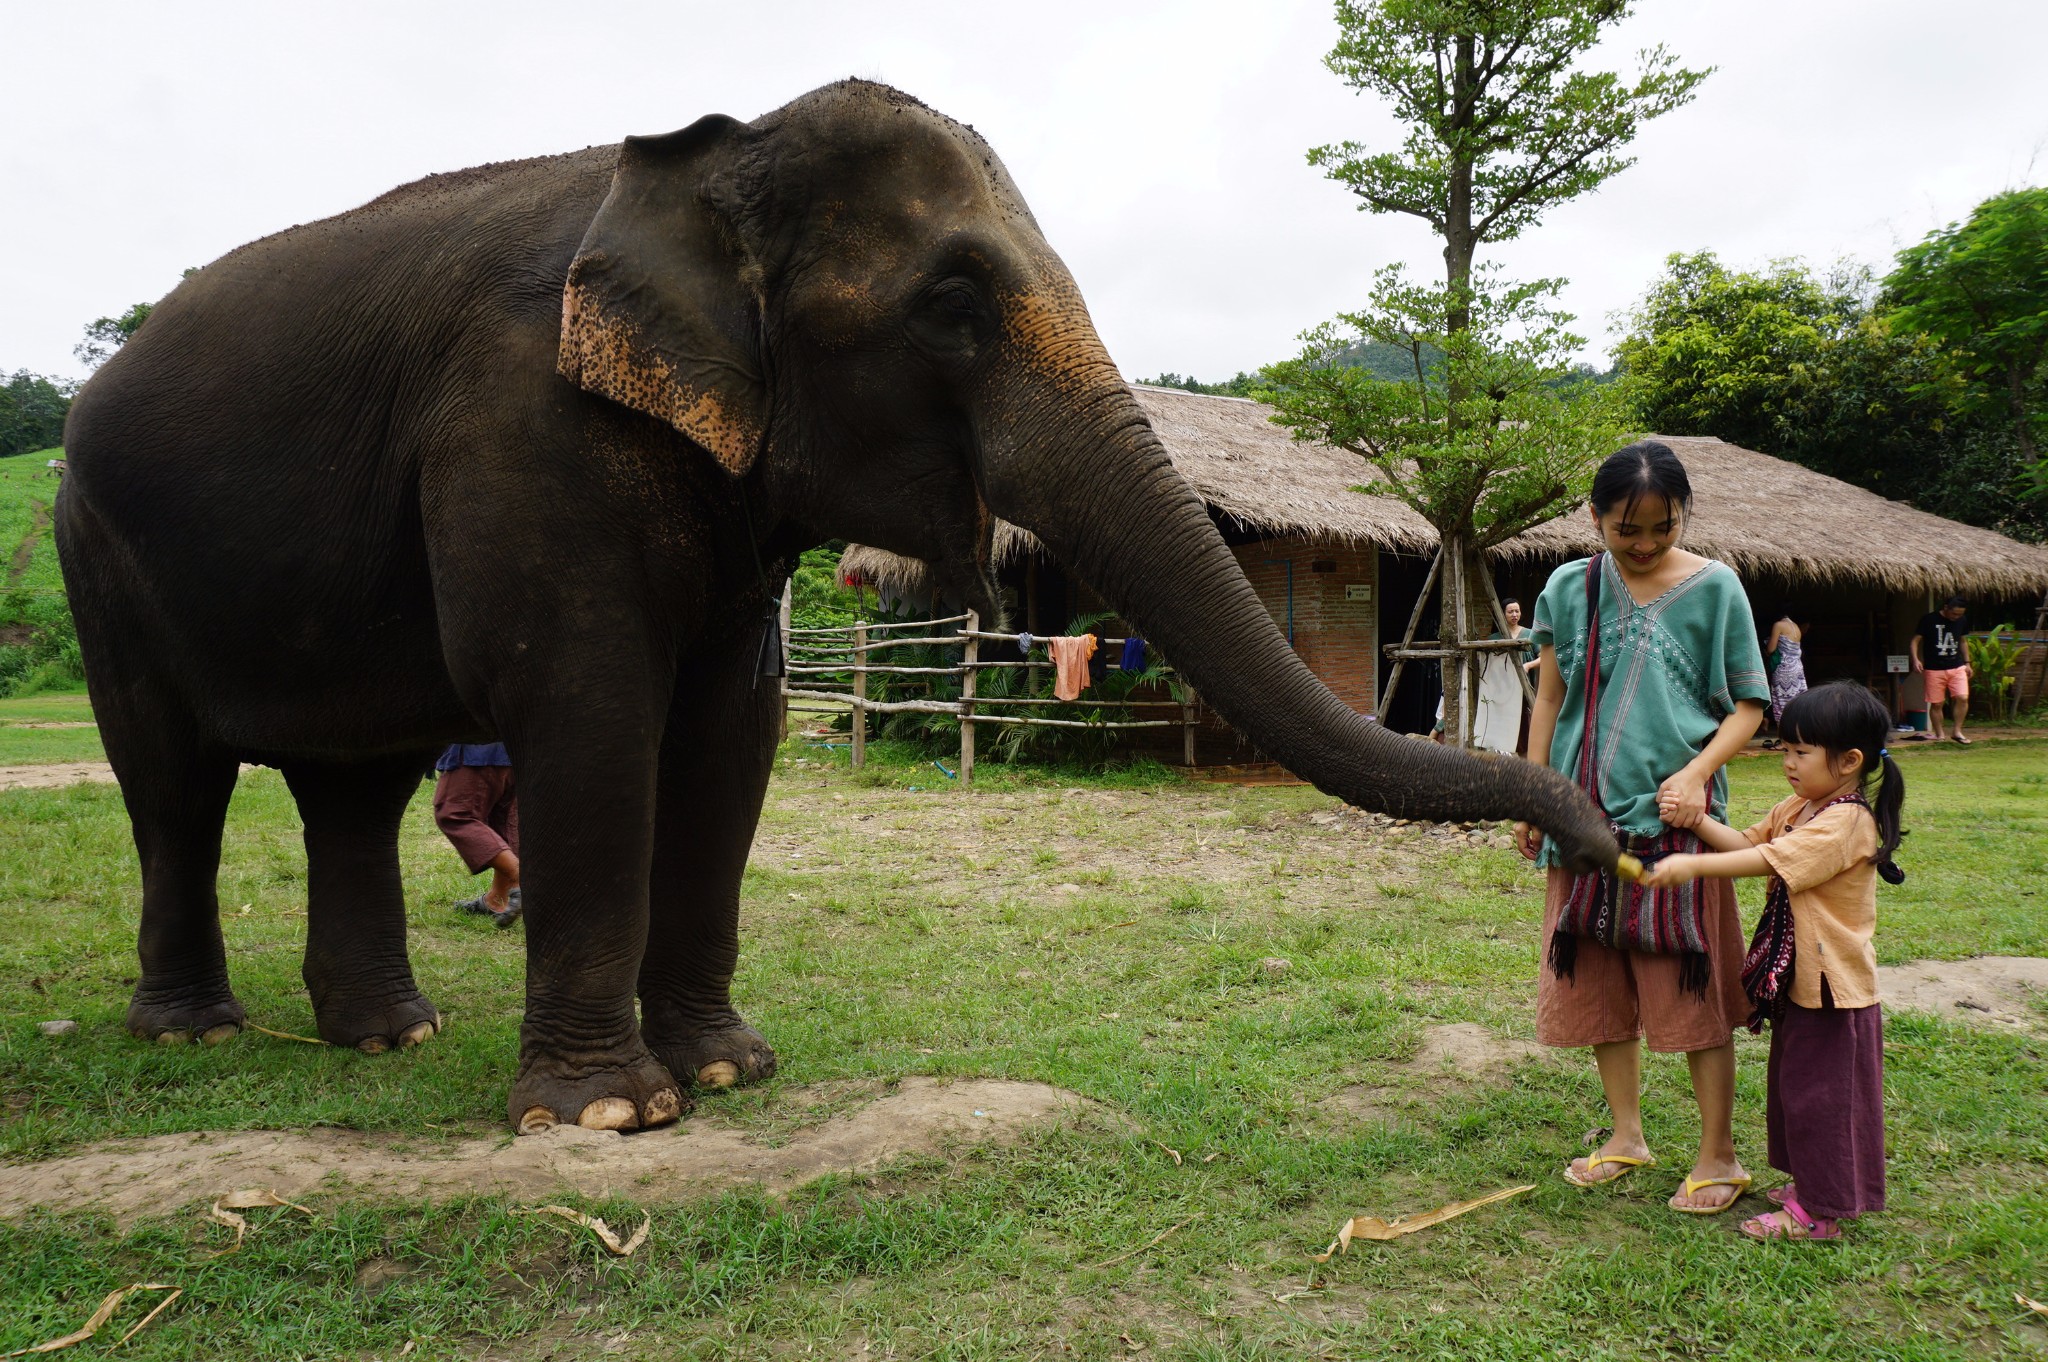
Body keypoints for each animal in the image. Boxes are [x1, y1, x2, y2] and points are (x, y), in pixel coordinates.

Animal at [59, 79, 1613, 1130]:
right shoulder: (522, 427)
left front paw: (732, 1070)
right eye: (952, 304)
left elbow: (731, 736)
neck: (708, 160)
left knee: (351, 782)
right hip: (93, 544)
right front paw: (611, 1115)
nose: (1605, 849)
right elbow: (590, 714)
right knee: (174, 782)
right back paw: (197, 1038)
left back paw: (392, 1039)